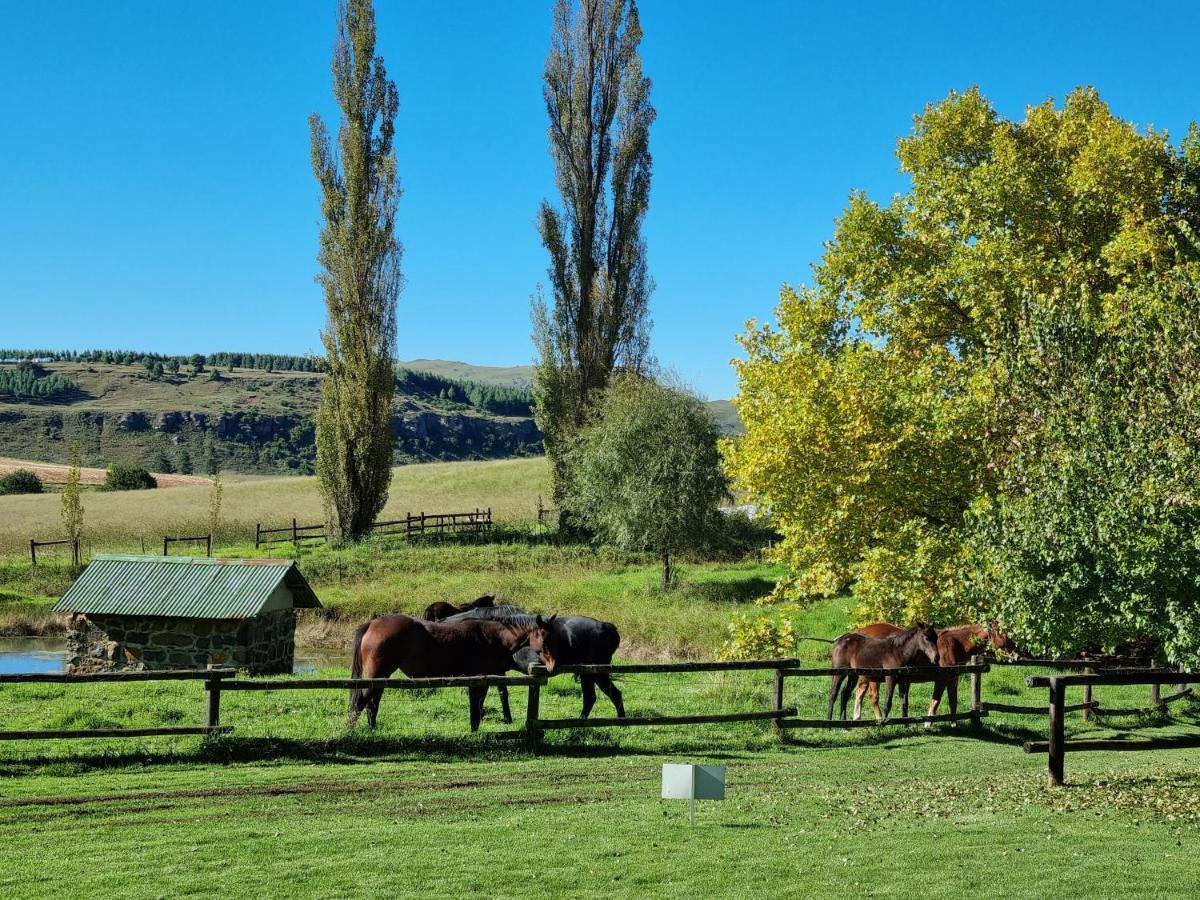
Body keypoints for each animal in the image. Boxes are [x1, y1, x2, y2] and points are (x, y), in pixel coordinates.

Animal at [345, 614, 547, 734]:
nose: (549, 666)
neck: (493, 638)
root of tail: (373, 623)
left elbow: (483, 702)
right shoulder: (482, 678)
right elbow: (483, 703)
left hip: (381, 678)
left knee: (372, 705)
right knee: (360, 703)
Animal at [446, 607, 624, 724]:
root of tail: (606, 627)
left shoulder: (496, 671)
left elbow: (498, 694)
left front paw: (505, 718)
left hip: (597, 673)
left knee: (613, 695)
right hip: (587, 674)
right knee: (591, 698)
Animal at [849, 619, 1017, 724]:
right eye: (1003, 635)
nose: (1016, 655)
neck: (954, 644)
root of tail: (861, 631)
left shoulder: (952, 680)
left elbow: (953, 703)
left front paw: (953, 725)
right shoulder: (941, 680)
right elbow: (935, 702)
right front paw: (928, 724)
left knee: (860, 692)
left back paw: (857, 718)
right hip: (873, 676)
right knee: (872, 697)